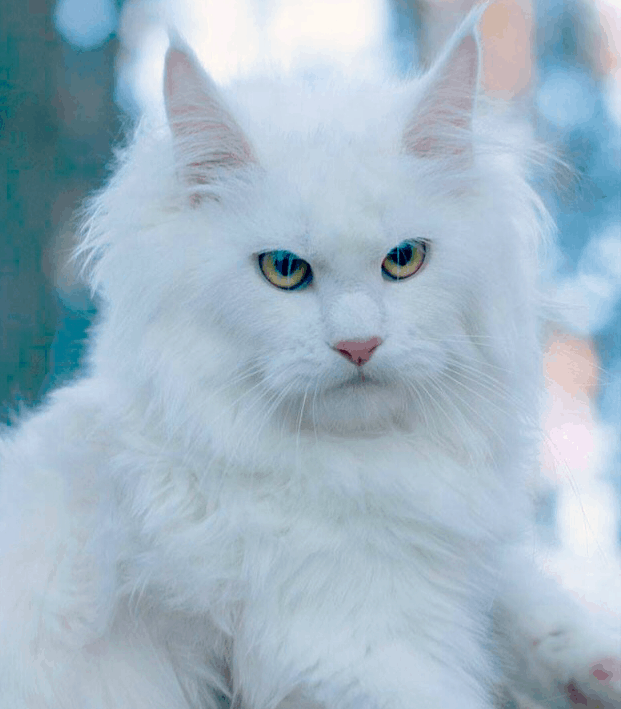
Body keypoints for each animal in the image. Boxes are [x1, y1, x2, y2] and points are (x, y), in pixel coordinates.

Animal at [1, 9, 620, 708]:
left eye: (404, 259)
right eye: (284, 270)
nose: (359, 344)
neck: (359, 467)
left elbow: (528, 606)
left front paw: (592, 665)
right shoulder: (355, 652)